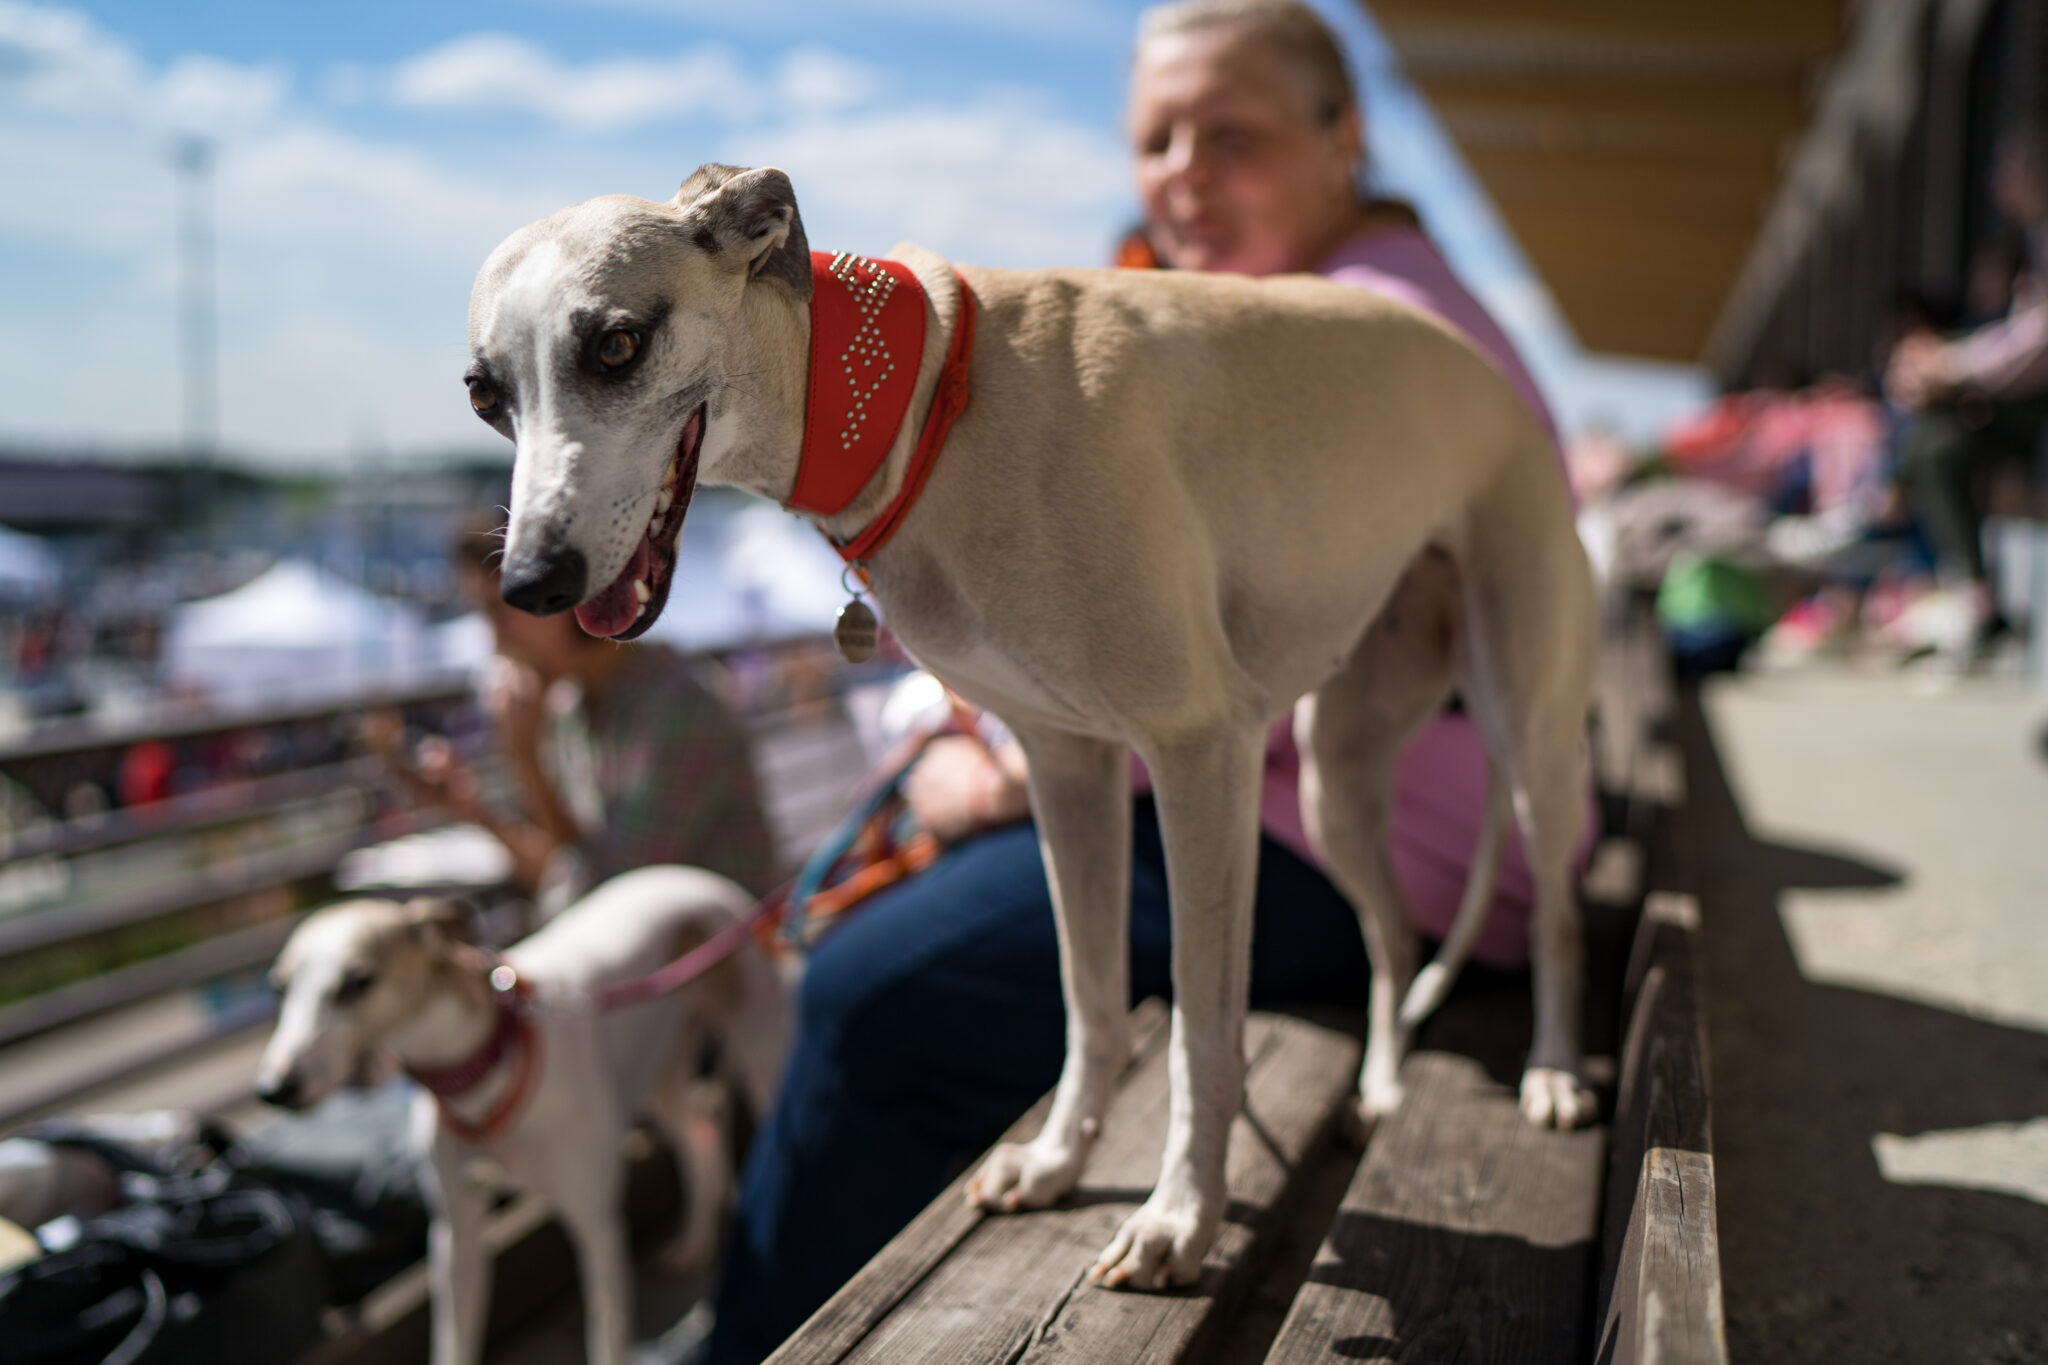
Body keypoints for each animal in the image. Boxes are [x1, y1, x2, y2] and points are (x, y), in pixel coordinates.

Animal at [260, 871, 786, 1358]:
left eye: (358, 982)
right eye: (278, 988)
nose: (274, 1089)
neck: (491, 1064)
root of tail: (694, 876)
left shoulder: (597, 1224)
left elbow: (607, 1332)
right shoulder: (456, 1238)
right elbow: (454, 1339)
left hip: (758, 1053)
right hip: (662, 1075)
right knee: (699, 1136)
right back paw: (695, 1243)